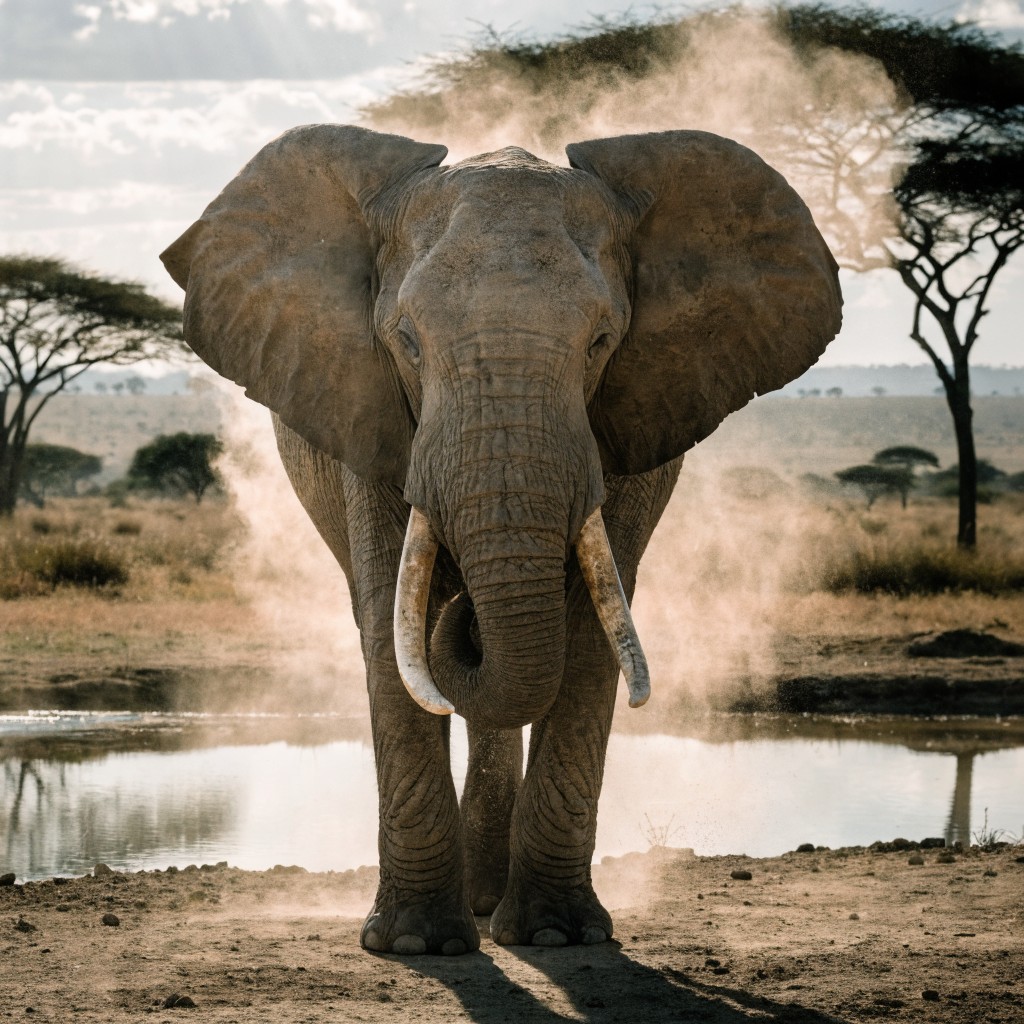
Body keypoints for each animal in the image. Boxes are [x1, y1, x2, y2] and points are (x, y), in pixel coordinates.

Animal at [160, 124, 841, 955]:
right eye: (407, 342)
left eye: (602, 341)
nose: (468, 611)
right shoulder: (367, 409)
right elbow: (389, 627)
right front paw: (417, 944)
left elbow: (589, 633)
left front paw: (555, 935)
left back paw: (491, 900)